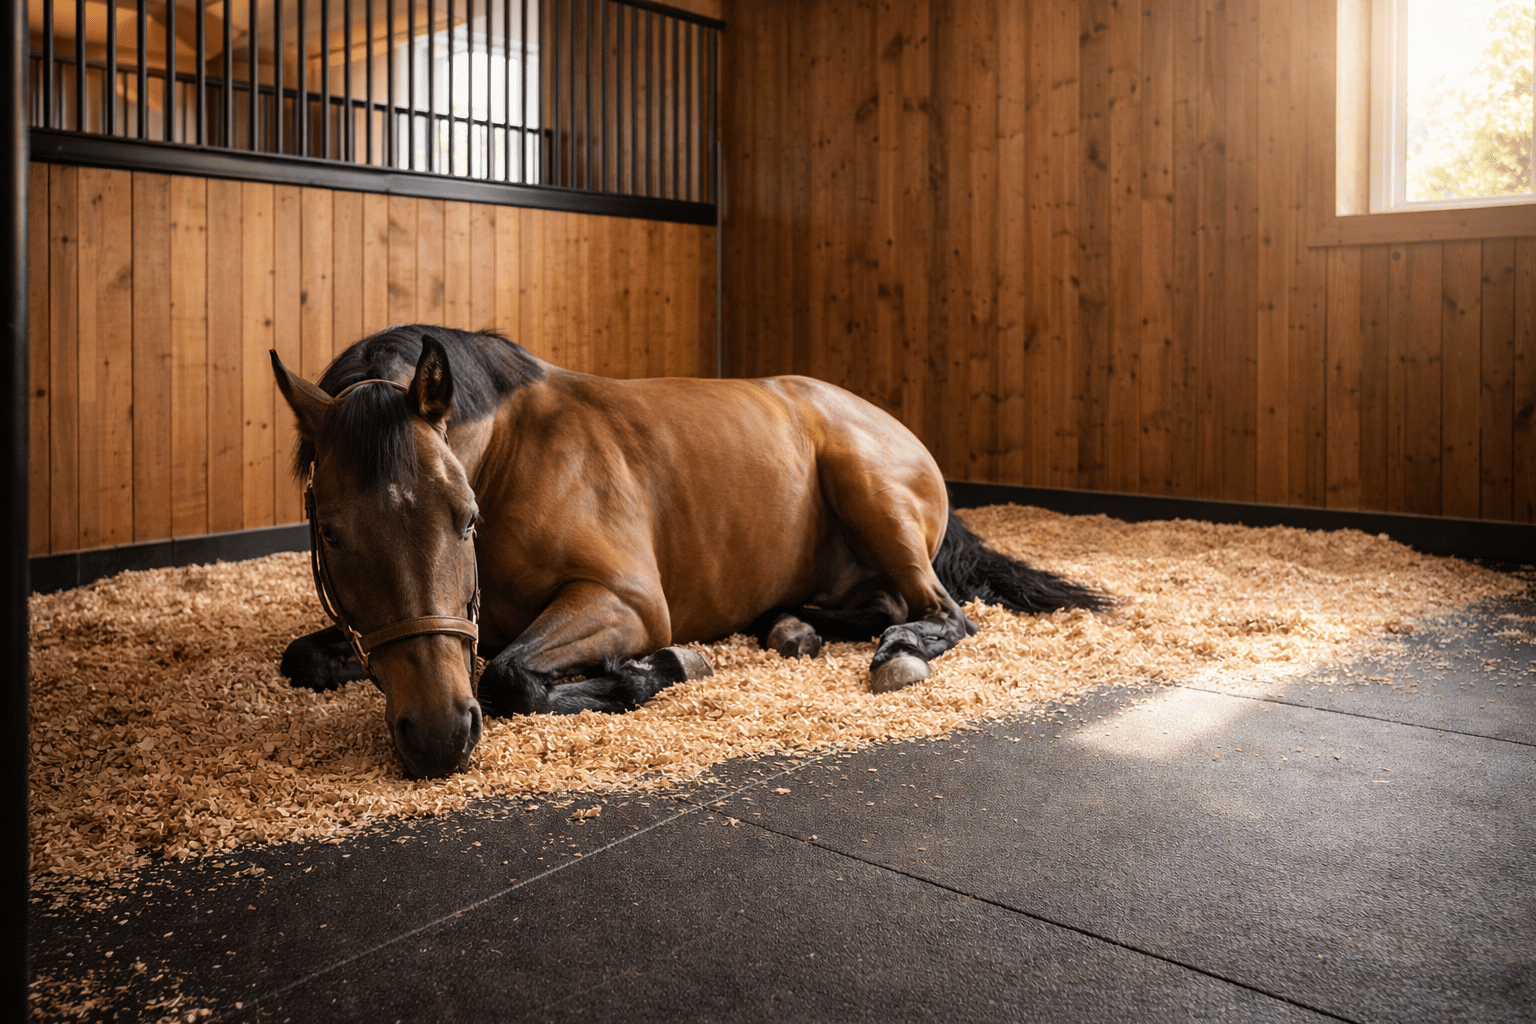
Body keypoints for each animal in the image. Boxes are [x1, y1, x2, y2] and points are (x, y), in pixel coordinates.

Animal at [272, 325, 1105, 778]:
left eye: (464, 518)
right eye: (332, 532)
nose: (440, 733)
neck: (512, 456)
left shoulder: (627, 603)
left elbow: (507, 674)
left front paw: (662, 668)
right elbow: (305, 657)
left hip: (868, 489)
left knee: (942, 612)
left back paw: (895, 652)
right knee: (874, 605)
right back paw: (791, 626)